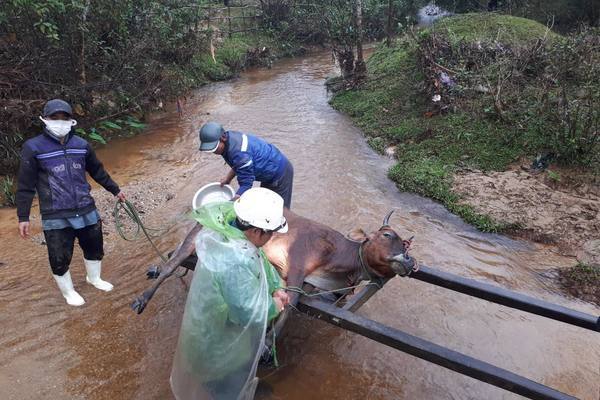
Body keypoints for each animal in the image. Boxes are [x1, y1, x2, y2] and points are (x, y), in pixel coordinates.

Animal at [129, 209, 414, 312]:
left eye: (406, 242)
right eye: (387, 235)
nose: (410, 261)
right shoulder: (298, 267)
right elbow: (292, 302)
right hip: (197, 234)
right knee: (172, 264)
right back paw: (142, 298)